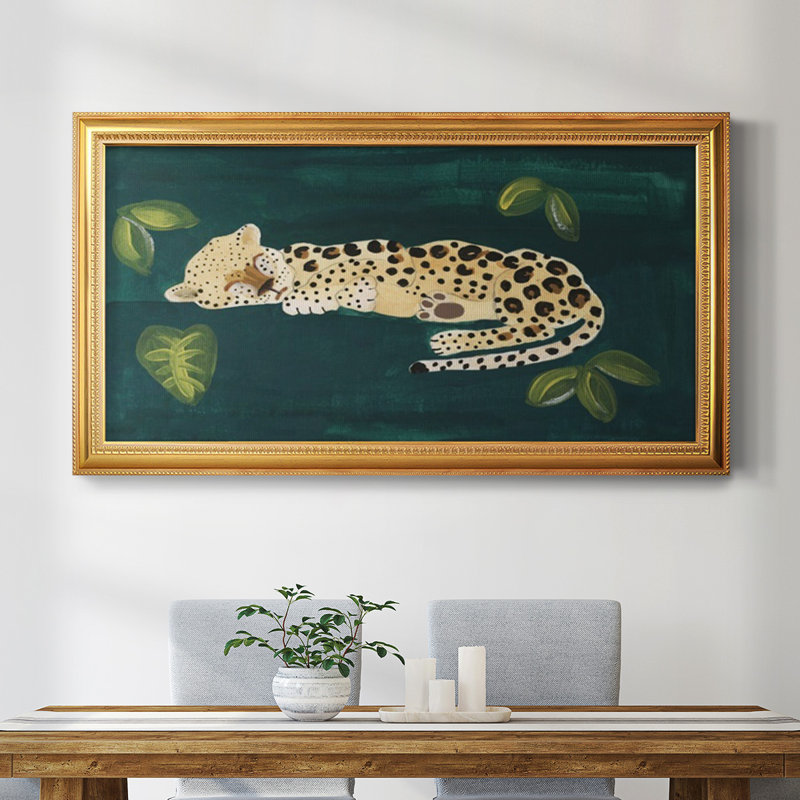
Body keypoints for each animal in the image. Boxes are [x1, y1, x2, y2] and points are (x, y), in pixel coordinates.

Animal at [165, 223, 605, 373]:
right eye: (231, 287)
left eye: (259, 261)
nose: (267, 287)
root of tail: (585, 290)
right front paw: (313, 300)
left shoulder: (385, 252)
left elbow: (347, 272)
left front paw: (323, 292)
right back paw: (442, 309)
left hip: (517, 276)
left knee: (528, 329)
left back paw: (450, 340)